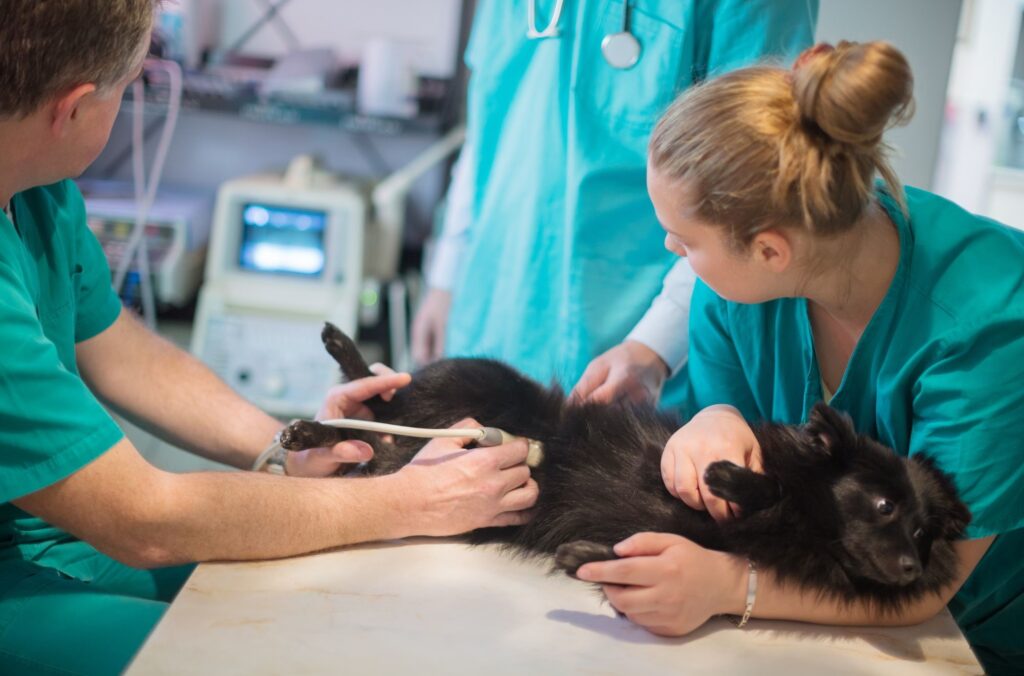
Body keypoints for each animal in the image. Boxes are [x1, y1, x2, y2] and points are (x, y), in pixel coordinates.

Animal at [280, 323, 966, 614]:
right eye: (883, 506)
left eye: (924, 534)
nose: (912, 569)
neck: (802, 529)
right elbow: (764, 481)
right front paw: (729, 477)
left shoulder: (688, 539)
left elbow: (619, 553)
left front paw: (581, 558)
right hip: (464, 379)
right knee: (379, 401)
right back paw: (328, 380)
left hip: (398, 464)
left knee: (371, 442)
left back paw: (314, 433)